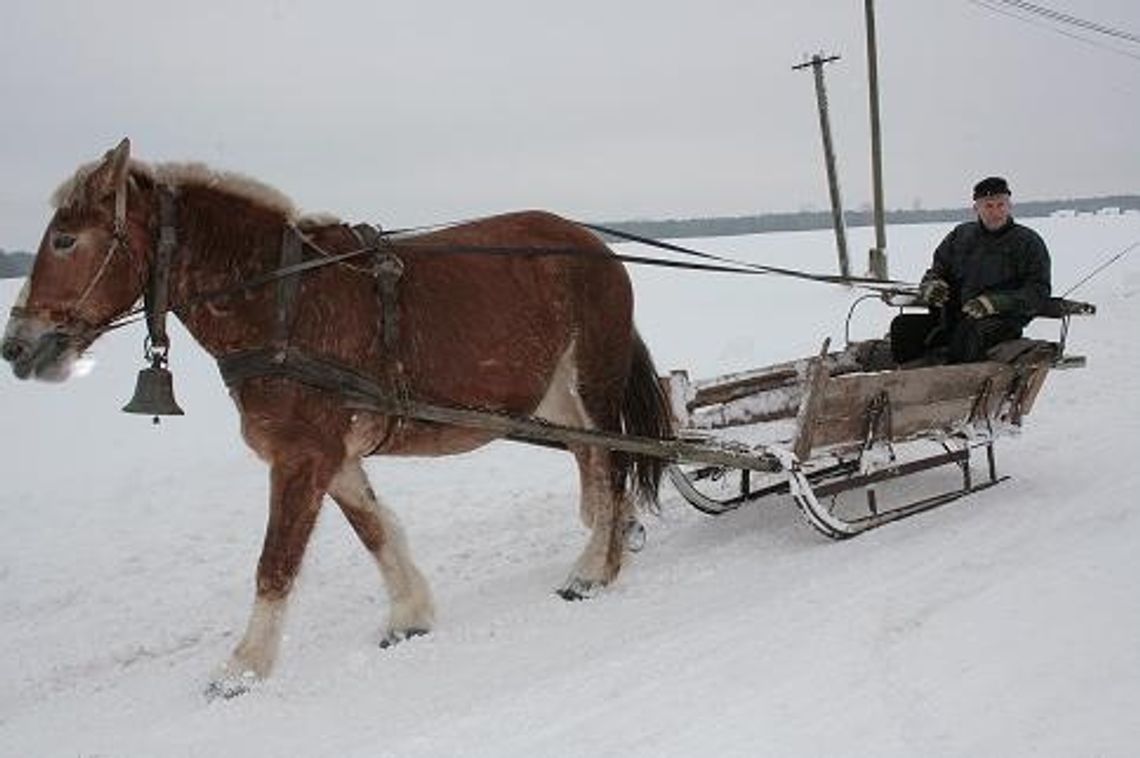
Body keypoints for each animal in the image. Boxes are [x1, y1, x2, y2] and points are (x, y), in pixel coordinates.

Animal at [2, 137, 674, 697]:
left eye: (65, 240)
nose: (15, 346)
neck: (281, 305)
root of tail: (593, 244)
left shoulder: (303, 456)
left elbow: (275, 563)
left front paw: (242, 668)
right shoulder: (333, 455)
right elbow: (374, 530)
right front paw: (409, 614)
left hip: (593, 379)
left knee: (613, 463)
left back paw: (596, 567)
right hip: (554, 396)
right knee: (591, 458)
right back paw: (611, 533)